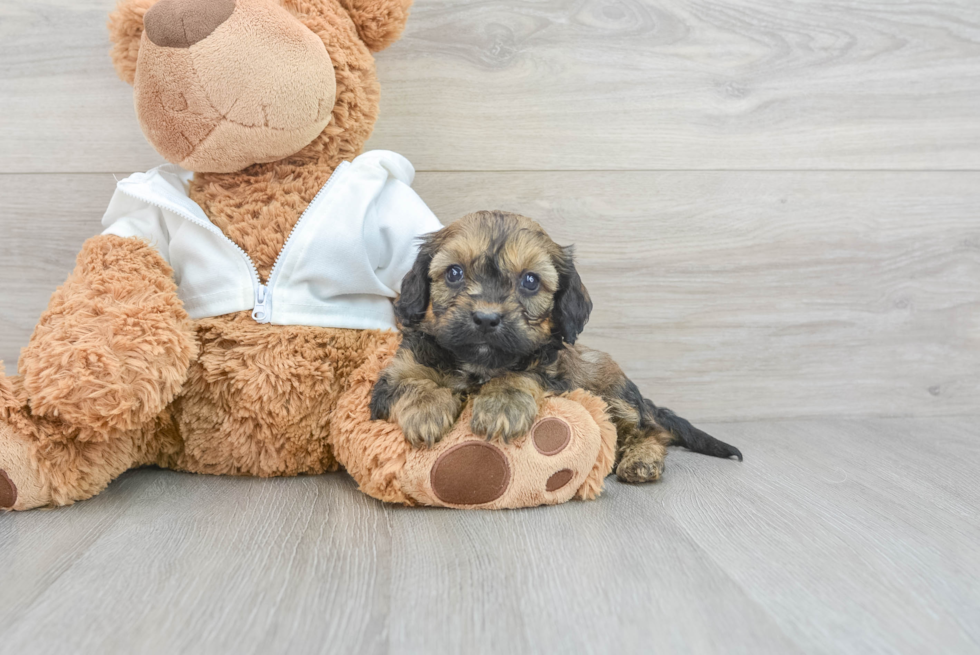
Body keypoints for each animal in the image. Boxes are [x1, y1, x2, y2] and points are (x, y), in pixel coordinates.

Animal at [372, 210, 740, 482]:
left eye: (530, 281)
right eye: (454, 273)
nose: (487, 318)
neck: (480, 365)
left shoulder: (554, 374)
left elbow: (523, 376)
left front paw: (502, 405)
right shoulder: (392, 377)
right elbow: (411, 382)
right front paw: (426, 410)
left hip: (612, 396)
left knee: (649, 431)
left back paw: (642, 460)